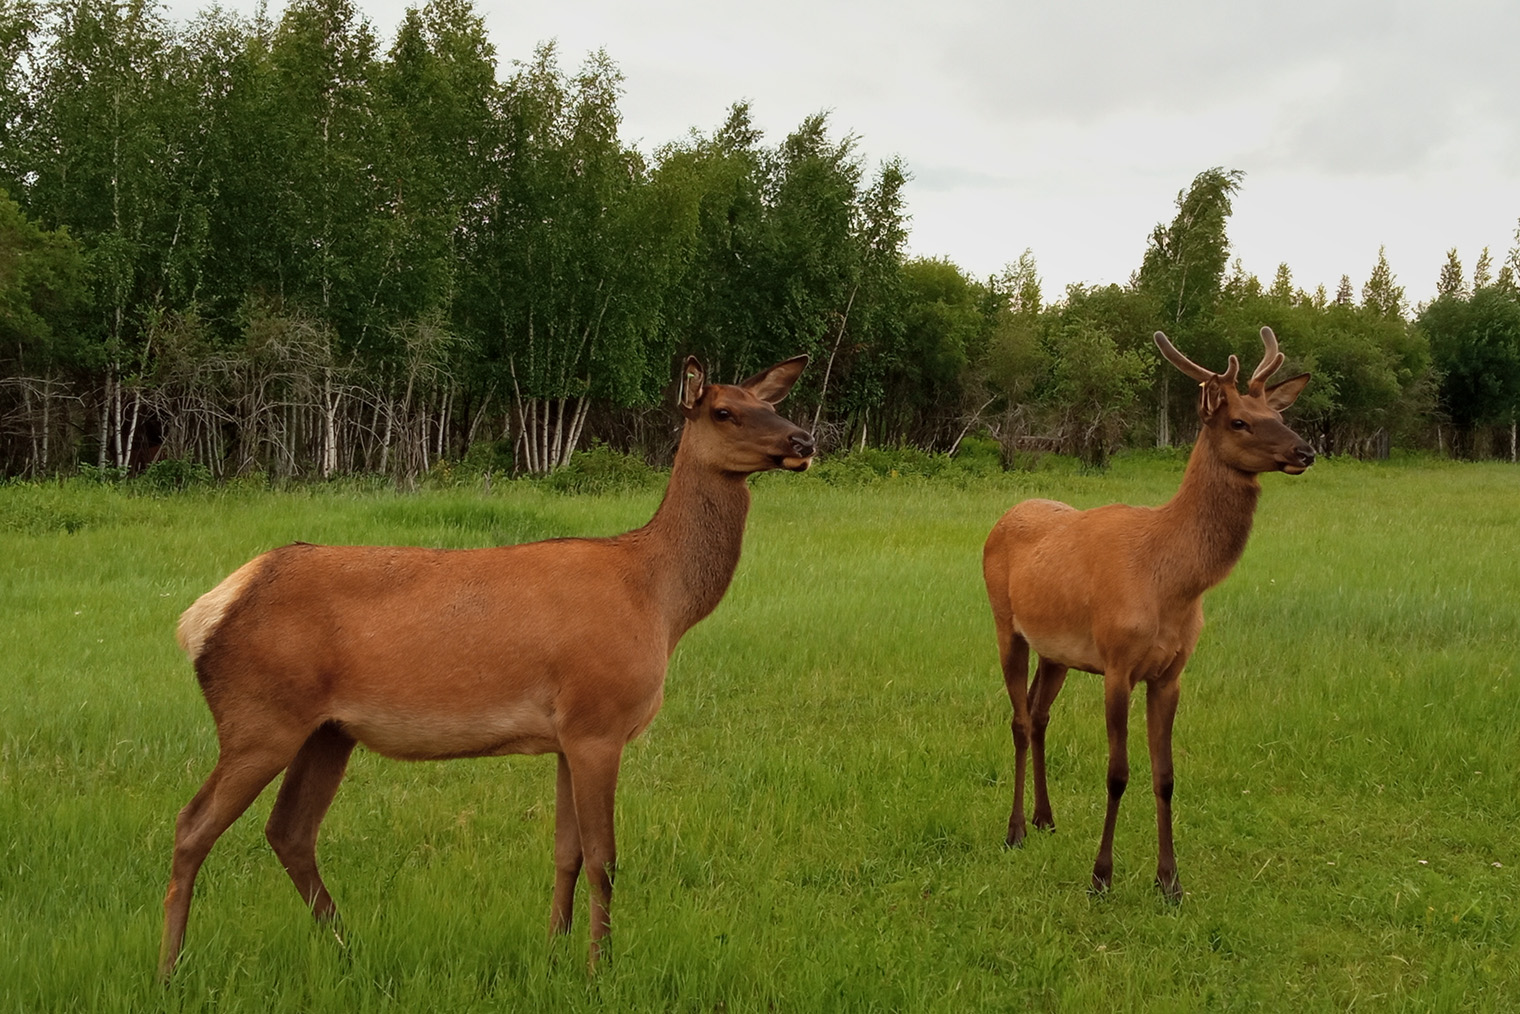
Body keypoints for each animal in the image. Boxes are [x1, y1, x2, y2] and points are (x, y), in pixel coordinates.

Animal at [160, 355, 814, 972]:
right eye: (724, 411)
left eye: (770, 404)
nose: (803, 441)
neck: (659, 600)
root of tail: (202, 615)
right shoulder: (599, 720)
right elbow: (605, 859)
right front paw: (599, 966)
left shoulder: (567, 734)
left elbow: (567, 852)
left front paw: (555, 952)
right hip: (259, 717)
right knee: (192, 825)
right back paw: (171, 966)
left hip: (327, 730)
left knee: (289, 831)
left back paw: (348, 948)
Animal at [978, 325, 1313, 893]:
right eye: (1239, 420)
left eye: (1280, 414)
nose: (1305, 450)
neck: (1172, 584)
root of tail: (1004, 517)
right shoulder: (1117, 663)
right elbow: (1118, 773)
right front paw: (1102, 876)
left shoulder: (1171, 672)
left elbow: (1166, 775)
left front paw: (1169, 881)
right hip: (1006, 624)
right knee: (1020, 720)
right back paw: (1016, 829)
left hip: (1057, 651)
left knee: (1040, 714)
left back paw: (1047, 819)